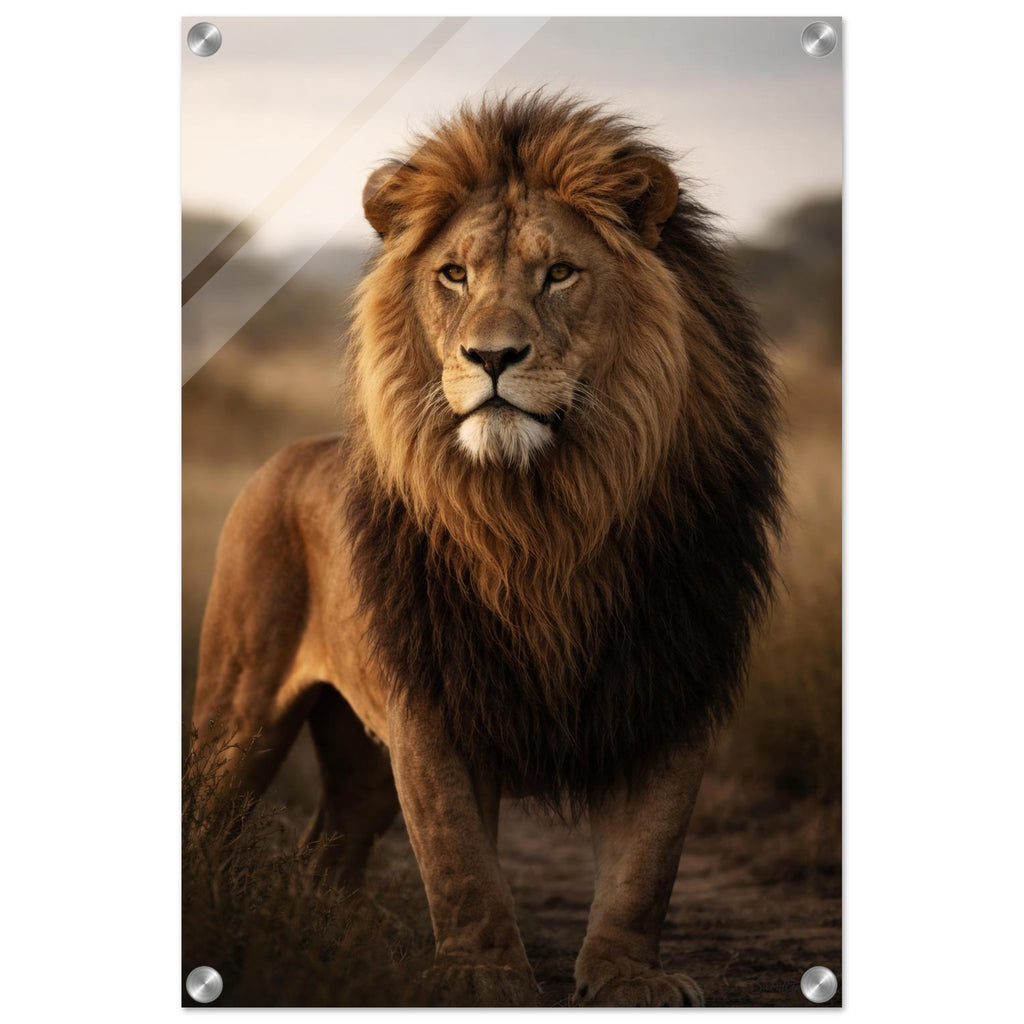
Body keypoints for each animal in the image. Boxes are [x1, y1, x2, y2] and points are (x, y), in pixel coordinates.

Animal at [192, 94, 783, 1007]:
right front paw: (478, 973)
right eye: (454, 276)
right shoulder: (432, 698)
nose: (492, 356)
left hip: (359, 754)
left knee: (327, 848)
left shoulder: (670, 684)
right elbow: (457, 857)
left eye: (560, 274)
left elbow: (647, 861)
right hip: (239, 709)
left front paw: (627, 977)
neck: (541, 516)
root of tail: (288, 457)